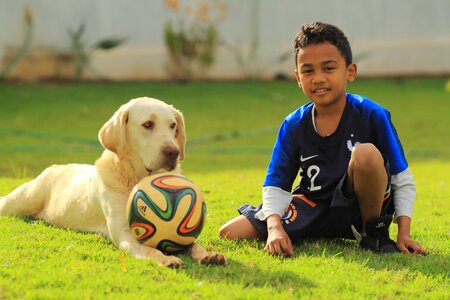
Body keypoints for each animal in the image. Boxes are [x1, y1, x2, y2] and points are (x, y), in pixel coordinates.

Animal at [0, 97, 225, 268]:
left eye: (173, 126)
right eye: (148, 124)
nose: (173, 152)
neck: (135, 178)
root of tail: (53, 167)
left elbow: (193, 243)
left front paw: (207, 254)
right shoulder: (125, 234)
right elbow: (148, 249)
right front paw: (166, 259)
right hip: (19, 201)